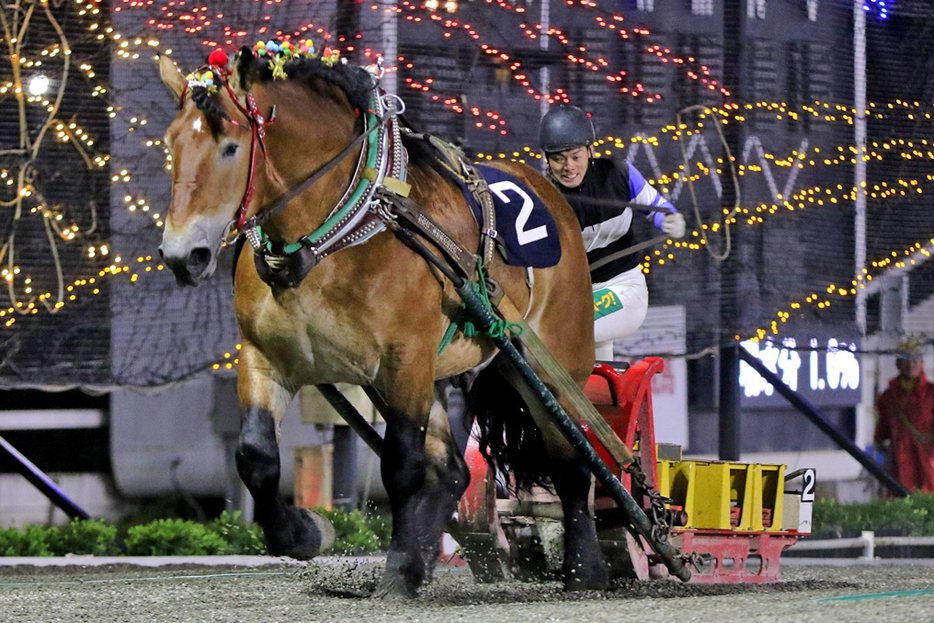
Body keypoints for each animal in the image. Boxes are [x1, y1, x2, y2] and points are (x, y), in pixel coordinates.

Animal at [157, 46, 604, 596]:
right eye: (171, 143)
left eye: (230, 148)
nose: (184, 255)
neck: (330, 238)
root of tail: (551, 191)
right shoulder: (266, 358)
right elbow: (256, 457)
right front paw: (305, 533)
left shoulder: (404, 359)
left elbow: (402, 467)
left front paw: (399, 569)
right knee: (453, 471)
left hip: (551, 361)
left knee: (570, 459)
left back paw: (585, 569)